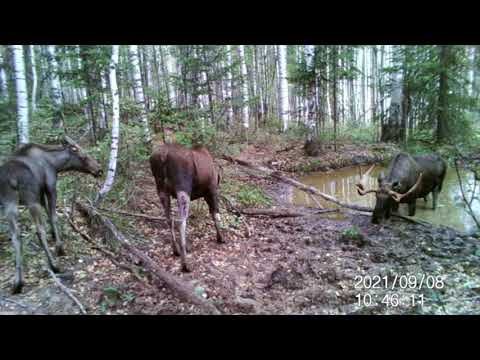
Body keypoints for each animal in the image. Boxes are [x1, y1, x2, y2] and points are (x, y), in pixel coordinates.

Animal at [0, 136, 102, 294]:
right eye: (83, 156)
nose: (99, 169)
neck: (55, 164)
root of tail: (12, 180)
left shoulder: (40, 193)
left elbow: (48, 214)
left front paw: (54, 235)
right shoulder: (50, 186)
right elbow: (53, 216)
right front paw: (60, 247)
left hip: (9, 203)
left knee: (15, 236)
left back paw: (17, 283)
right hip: (30, 200)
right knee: (39, 230)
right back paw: (54, 265)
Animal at [150, 142, 225, 272]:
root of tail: (163, 156)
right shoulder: (212, 189)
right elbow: (215, 213)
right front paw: (220, 237)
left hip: (161, 190)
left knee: (169, 219)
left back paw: (176, 250)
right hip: (183, 189)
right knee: (181, 222)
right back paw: (185, 263)